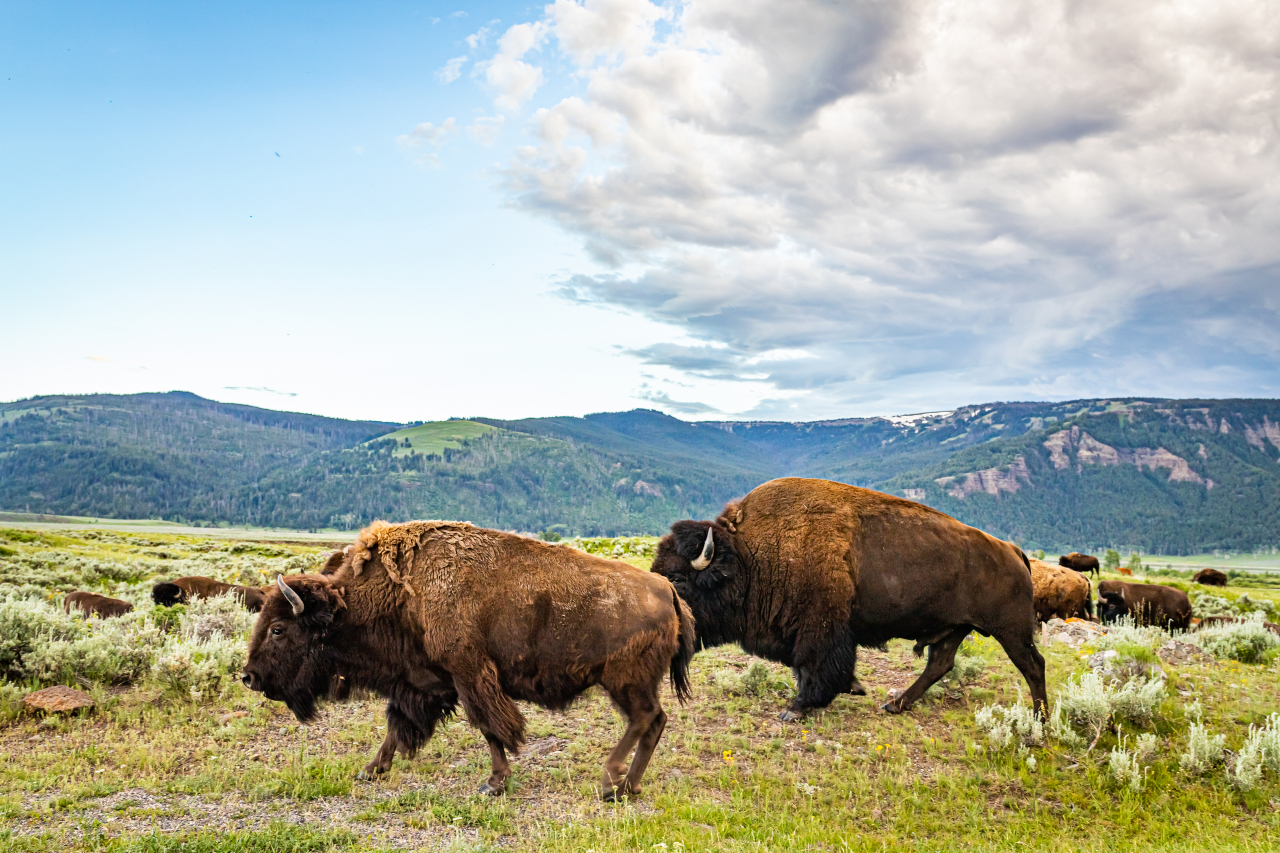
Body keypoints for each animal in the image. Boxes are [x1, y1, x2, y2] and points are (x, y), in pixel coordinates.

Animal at [243, 514, 696, 799]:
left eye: (278, 629)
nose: (249, 677)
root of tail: (666, 590)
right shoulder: (422, 681)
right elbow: (397, 726)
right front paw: (370, 770)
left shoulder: (470, 675)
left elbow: (489, 727)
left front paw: (494, 783)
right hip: (632, 683)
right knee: (654, 721)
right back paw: (628, 788)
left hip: (624, 681)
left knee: (644, 719)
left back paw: (609, 782)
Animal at [655, 479, 1044, 717]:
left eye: (677, 578)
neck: (749, 556)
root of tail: (1013, 550)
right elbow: (812, 667)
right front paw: (854, 688)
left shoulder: (820, 627)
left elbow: (813, 666)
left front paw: (795, 709)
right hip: (955, 628)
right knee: (940, 664)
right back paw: (895, 705)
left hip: (1011, 630)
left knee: (1032, 665)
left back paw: (1039, 724)